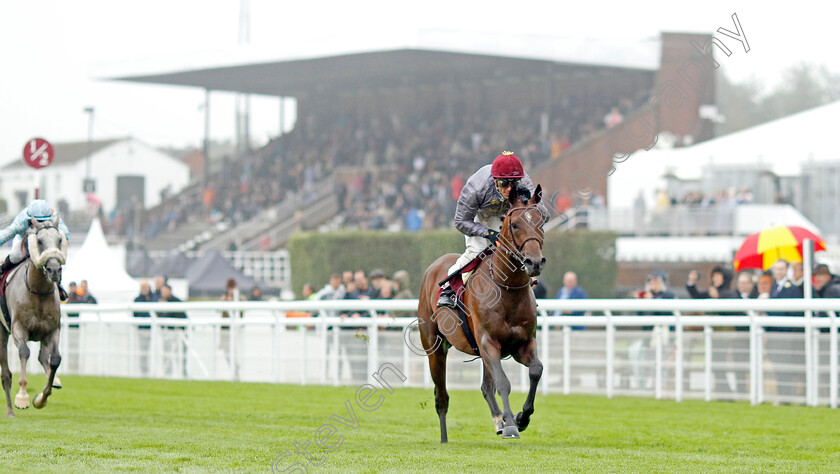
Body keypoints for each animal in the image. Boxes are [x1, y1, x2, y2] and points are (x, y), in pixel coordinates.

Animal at [0, 217, 66, 416]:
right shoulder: (18, 328)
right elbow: (24, 352)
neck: (38, 291)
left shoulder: (52, 330)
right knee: (5, 374)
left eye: (59, 240)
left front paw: (41, 398)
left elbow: (55, 359)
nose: (54, 270)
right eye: (39, 241)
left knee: (43, 357)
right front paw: (22, 397)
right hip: (1, 331)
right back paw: (10, 411)